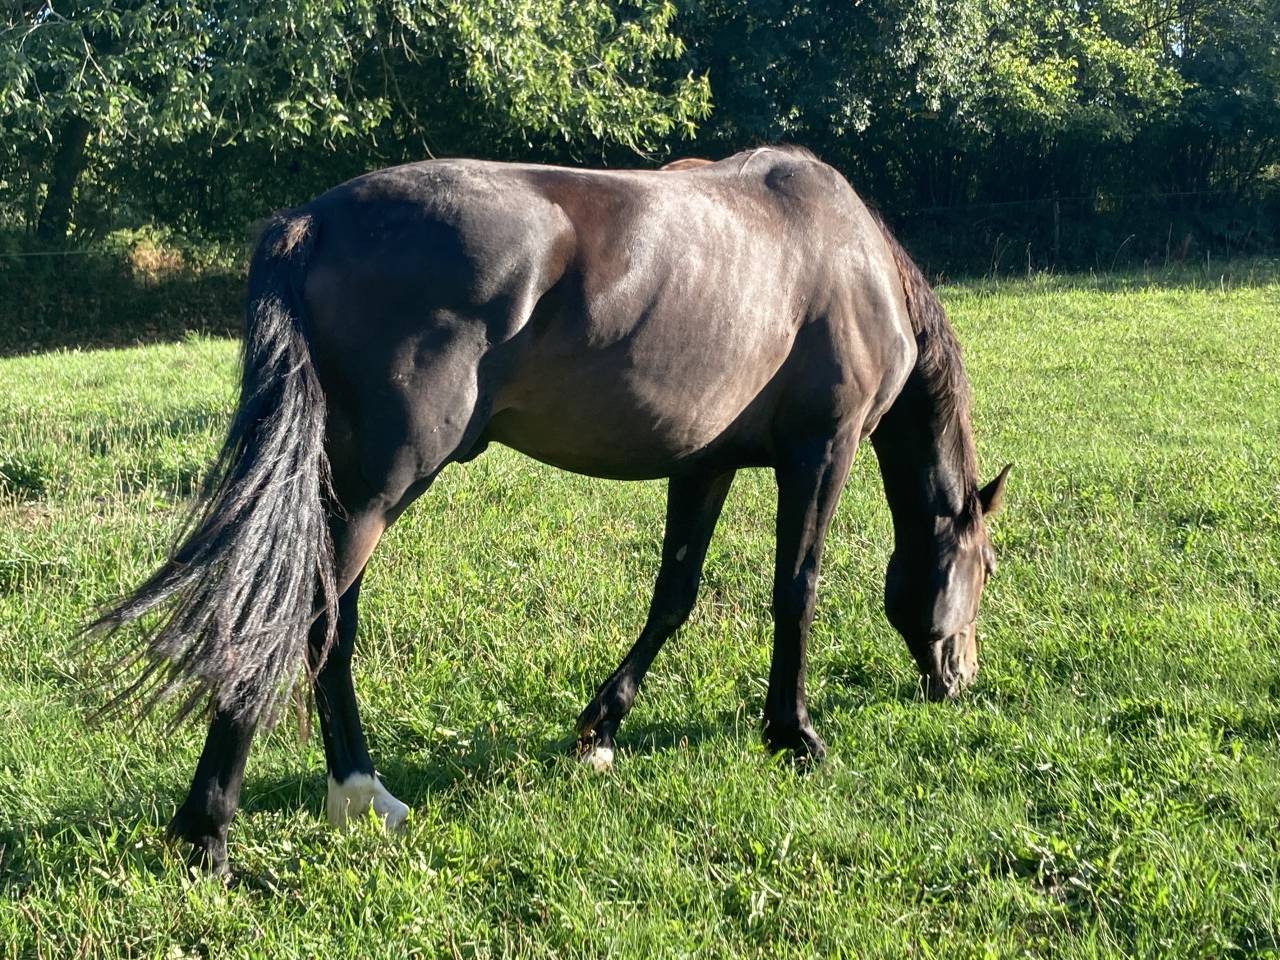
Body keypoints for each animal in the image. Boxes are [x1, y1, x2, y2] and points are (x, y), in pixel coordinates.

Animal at [90, 146, 1010, 873]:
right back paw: (210, 834)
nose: (959, 676)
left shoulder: (704, 463)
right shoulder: (823, 451)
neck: (850, 255)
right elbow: (797, 589)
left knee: (330, 630)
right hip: (377, 491)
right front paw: (794, 733)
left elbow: (674, 596)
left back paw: (359, 795)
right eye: (988, 565)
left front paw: (602, 725)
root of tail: (310, 222)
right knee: (295, 623)